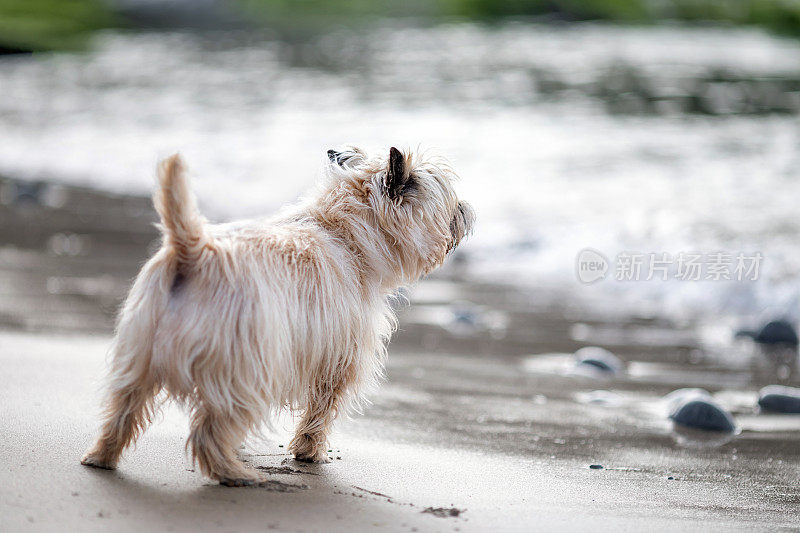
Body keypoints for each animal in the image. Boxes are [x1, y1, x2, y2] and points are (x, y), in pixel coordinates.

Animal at [79, 143, 476, 484]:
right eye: (448, 200)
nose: (468, 211)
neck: (343, 232)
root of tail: (193, 249)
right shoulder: (339, 359)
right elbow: (320, 412)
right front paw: (310, 452)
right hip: (246, 372)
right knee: (207, 431)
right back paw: (234, 473)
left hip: (137, 358)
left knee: (122, 410)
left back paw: (100, 457)